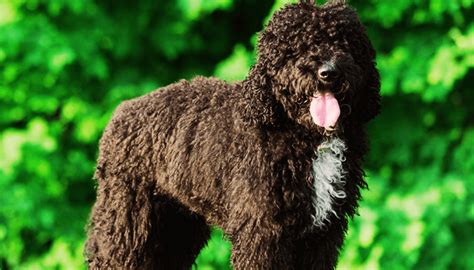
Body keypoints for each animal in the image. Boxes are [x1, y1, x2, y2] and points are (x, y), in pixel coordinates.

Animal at [85, 1, 382, 268]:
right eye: (297, 48)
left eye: (345, 44)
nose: (328, 72)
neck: (306, 137)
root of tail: (122, 111)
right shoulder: (263, 231)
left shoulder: (322, 233)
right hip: (126, 222)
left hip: (177, 226)